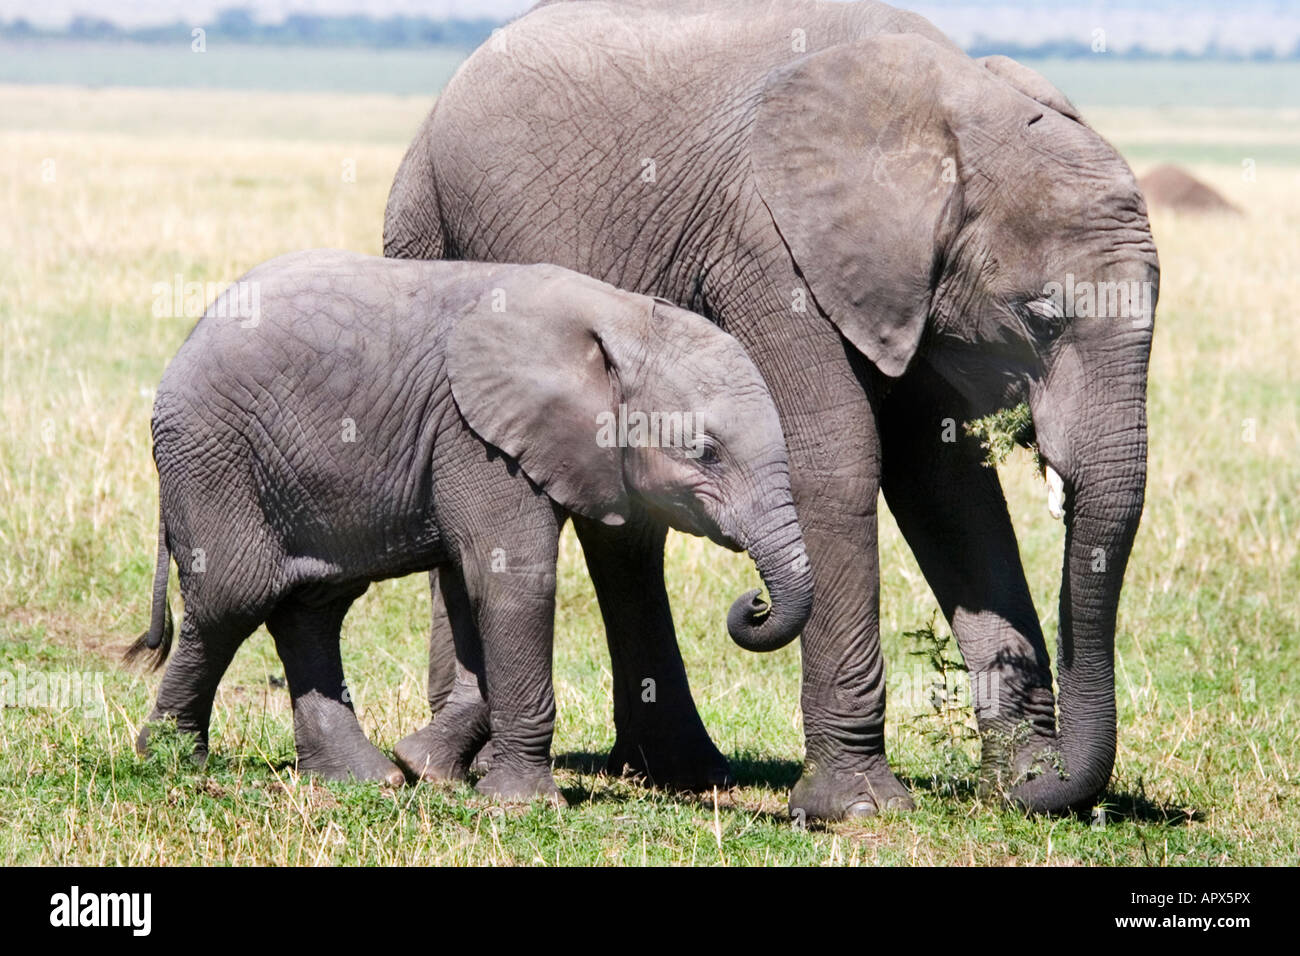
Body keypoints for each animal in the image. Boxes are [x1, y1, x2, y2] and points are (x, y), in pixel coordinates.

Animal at [128, 249, 813, 803]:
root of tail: (190, 337)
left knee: (312, 607)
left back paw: (366, 779)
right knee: (234, 598)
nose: (753, 602)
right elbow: (515, 584)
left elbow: (473, 587)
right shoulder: (476, 435)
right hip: (215, 451)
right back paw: (169, 761)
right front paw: (521, 803)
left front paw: (426, 767)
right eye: (705, 451)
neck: (621, 319)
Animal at [383, 0, 1159, 819]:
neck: (959, 105)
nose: (1050, 786)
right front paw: (857, 809)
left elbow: (949, 489)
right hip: (424, 228)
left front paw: (1020, 779)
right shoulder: (769, 249)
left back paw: (668, 770)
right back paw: (451, 764)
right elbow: (838, 458)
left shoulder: (911, 293)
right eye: (1039, 317)